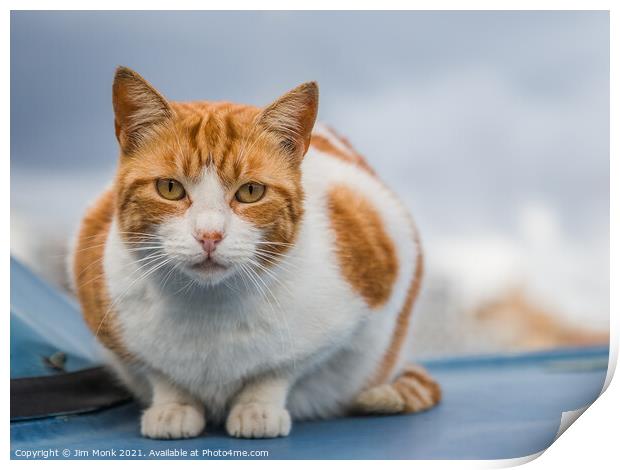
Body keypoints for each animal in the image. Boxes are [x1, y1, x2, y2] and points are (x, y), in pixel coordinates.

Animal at [71, 67, 440, 440]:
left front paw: (257, 408)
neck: (209, 309)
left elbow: (277, 372)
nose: (209, 235)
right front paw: (174, 406)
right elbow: (160, 373)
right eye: (170, 188)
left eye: (250, 192)